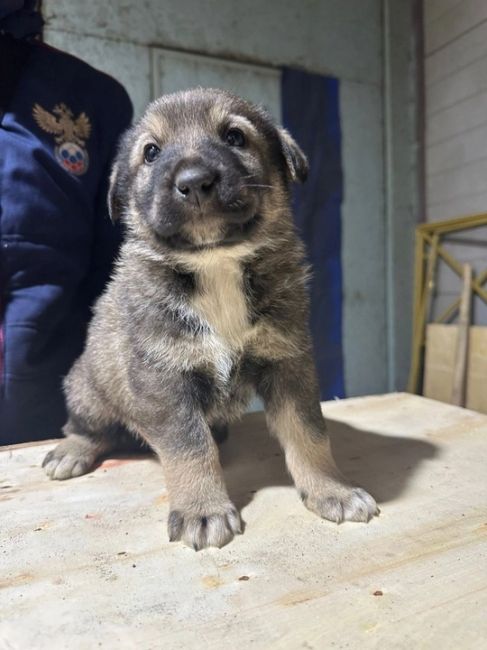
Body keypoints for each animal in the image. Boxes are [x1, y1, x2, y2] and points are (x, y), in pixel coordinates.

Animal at [43, 87, 380, 548]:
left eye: (235, 136)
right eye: (151, 152)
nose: (194, 182)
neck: (216, 262)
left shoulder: (288, 362)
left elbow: (309, 433)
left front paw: (333, 490)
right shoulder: (164, 380)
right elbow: (190, 448)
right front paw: (202, 510)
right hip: (88, 388)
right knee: (84, 426)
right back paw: (72, 452)